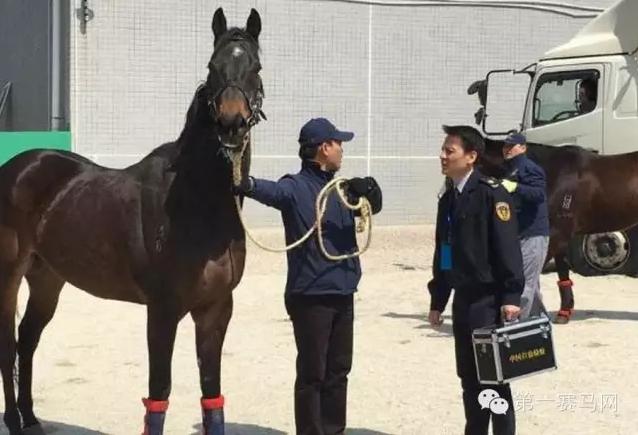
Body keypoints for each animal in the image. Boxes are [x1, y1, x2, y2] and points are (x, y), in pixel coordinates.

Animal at [0, 7, 264, 435]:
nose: (231, 125)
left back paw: (31, 418)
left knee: (28, 338)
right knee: (8, 344)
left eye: (255, 66)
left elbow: (212, 394)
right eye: (212, 66)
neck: (198, 204)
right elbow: (159, 392)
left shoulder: (216, 309)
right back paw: (13, 418)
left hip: (47, 278)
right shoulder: (163, 310)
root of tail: (20, 166)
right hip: (9, 274)